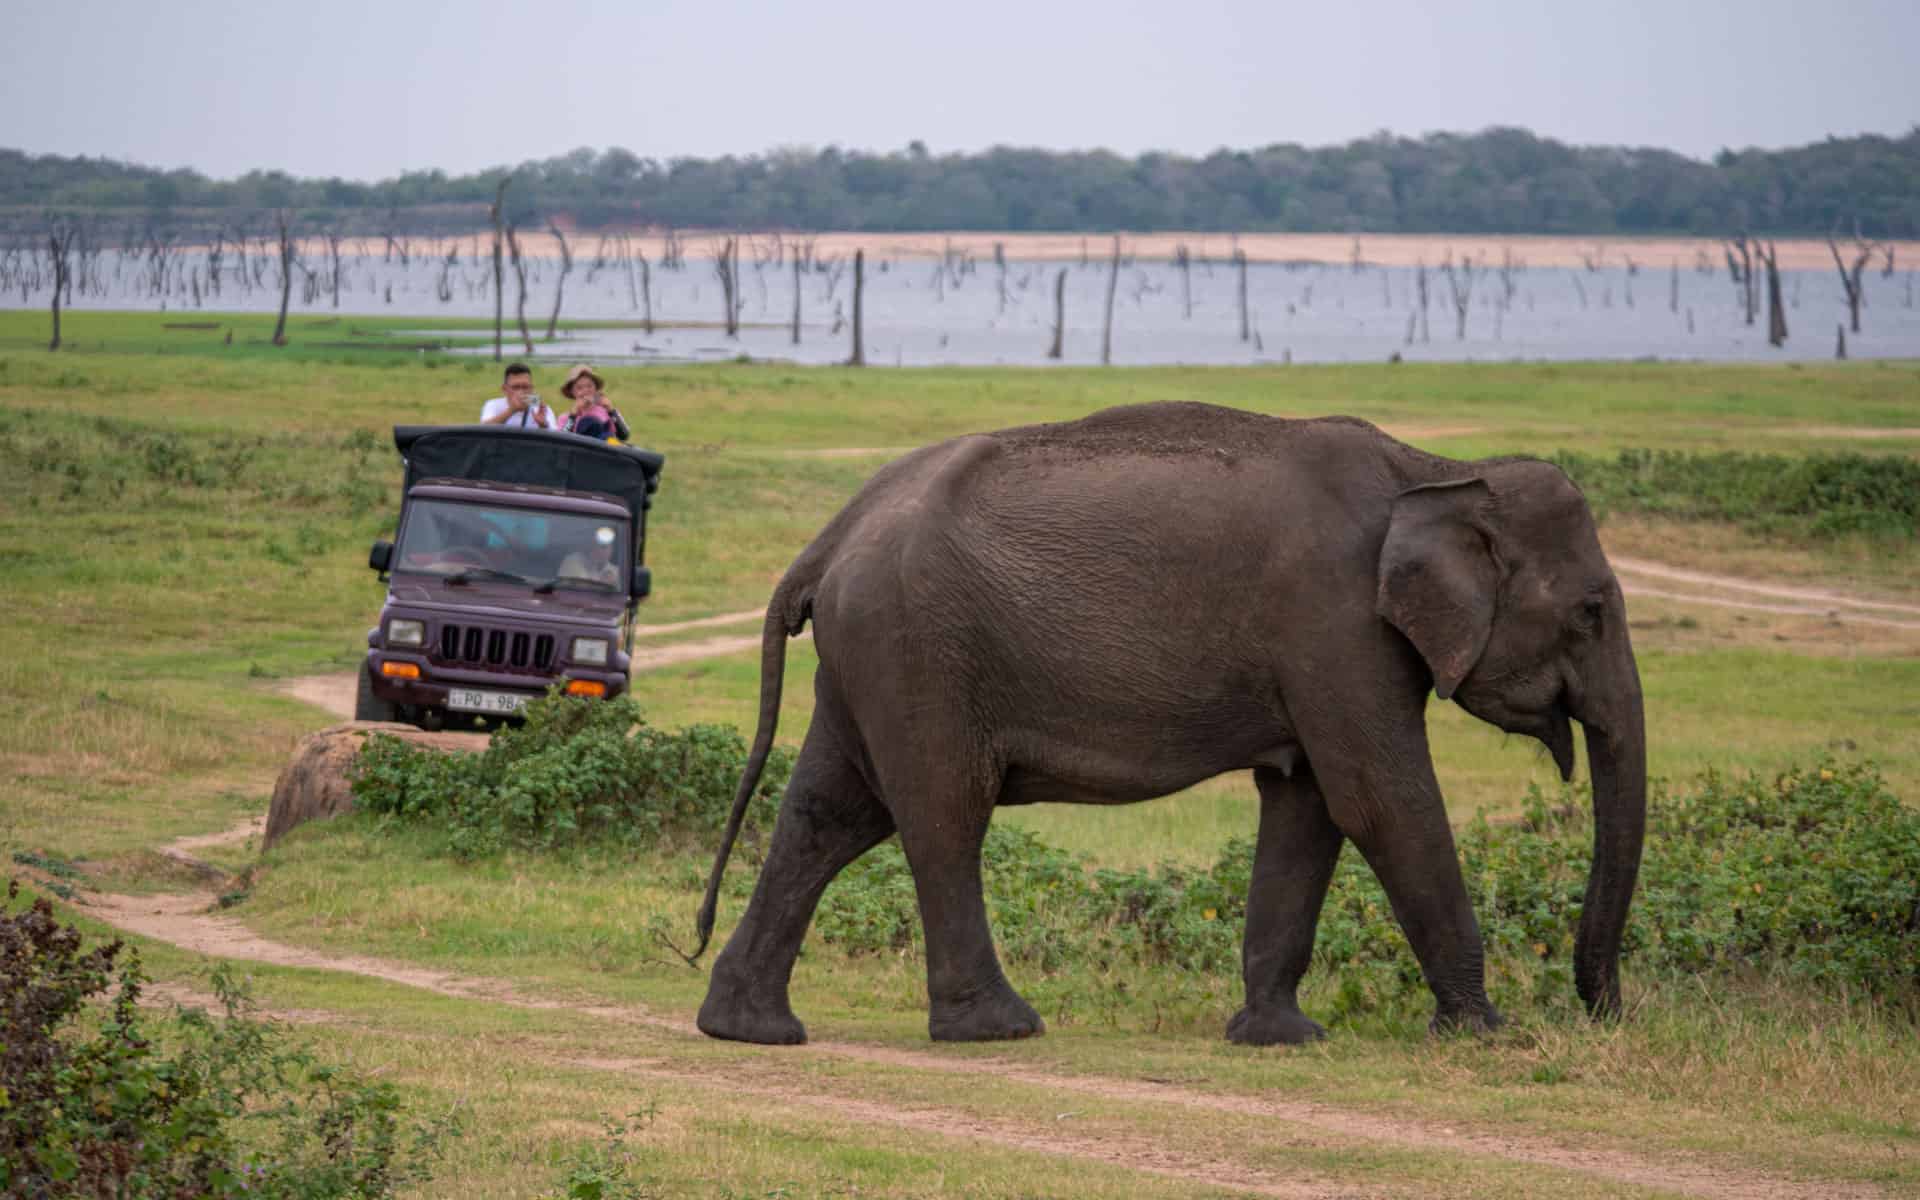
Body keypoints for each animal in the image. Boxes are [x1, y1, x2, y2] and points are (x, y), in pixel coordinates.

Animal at [698, 399, 1643, 1036]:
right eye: (1593, 612)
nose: (1604, 1011)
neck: (1434, 469)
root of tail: (830, 536)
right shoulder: (1334, 624)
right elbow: (1380, 800)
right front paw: (1483, 1033)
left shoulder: (1324, 651)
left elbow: (1308, 804)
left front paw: (1279, 1037)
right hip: (917, 646)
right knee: (941, 813)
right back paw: (1000, 1027)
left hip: (870, 651)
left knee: (830, 813)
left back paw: (750, 1028)